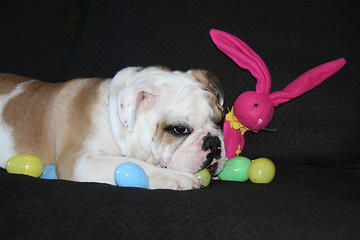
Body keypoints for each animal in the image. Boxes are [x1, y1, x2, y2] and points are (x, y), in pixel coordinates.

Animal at [0, 66, 225, 190]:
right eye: (179, 130)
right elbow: (133, 164)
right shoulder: (79, 162)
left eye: (220, 120)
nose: (214, 143)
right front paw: (175, 178)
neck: (112, 119)